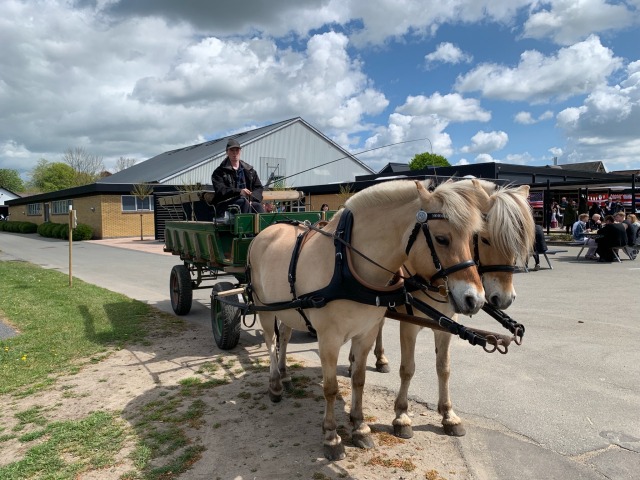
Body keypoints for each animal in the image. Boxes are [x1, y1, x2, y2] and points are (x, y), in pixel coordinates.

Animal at [390, 180, 536, 438]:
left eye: (516, 243)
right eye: (485, 239)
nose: (505, 298)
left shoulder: (447, 324)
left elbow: (444, 368)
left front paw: (448, 415)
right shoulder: (408, 325)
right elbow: (408, 369)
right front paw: (402, 415)